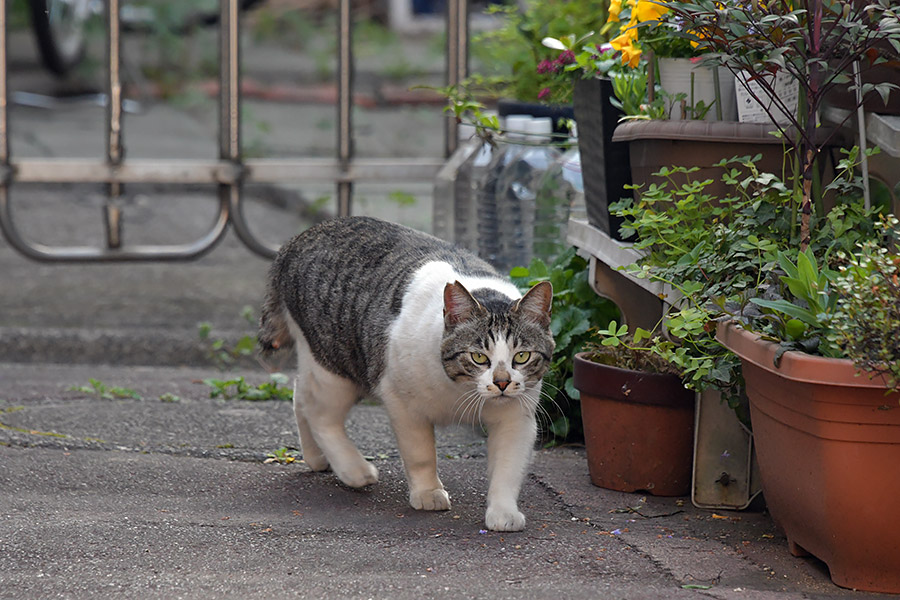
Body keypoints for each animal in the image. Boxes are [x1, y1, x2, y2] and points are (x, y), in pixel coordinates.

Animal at [256, 217, 556, 528]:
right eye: (478, 357)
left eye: (521, 356)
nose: (502, 382)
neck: (459, 389)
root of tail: (297, 239)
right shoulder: (403, 403)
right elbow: (420, 454)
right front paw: (428, 493)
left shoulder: (516, 416)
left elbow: (508, 468)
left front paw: (503, 513)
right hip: (336, 365)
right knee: (319, 413)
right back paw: (354, 470)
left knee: (301, 395)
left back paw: (317, 457)